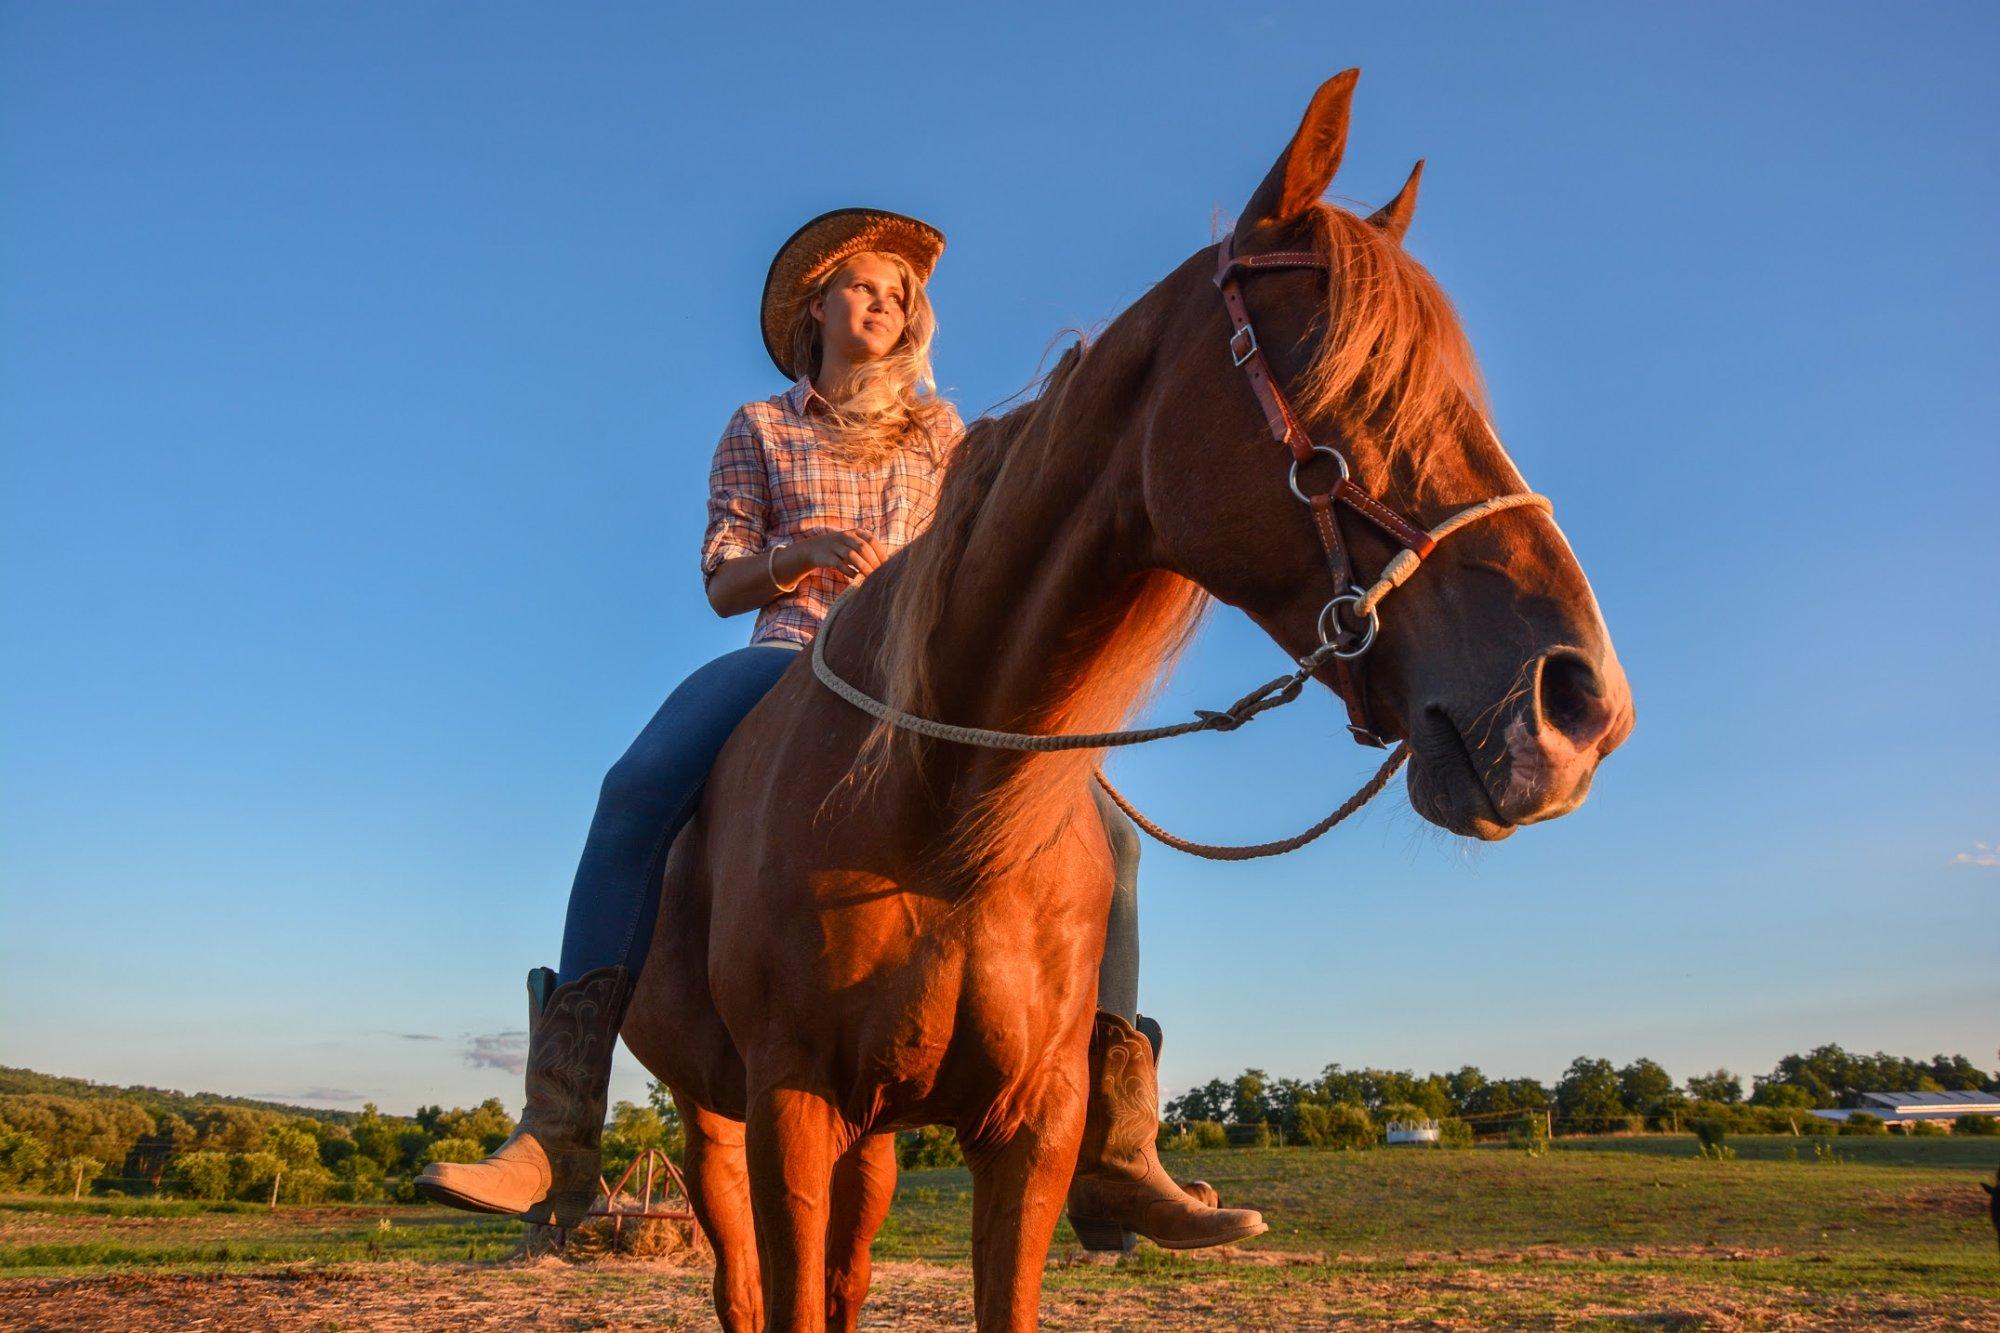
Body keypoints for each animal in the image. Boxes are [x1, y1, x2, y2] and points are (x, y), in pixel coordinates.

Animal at [620, 67, 1624, 1320]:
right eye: (1340, 377)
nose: (1577, 703)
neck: (934, 810)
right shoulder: (789, 1107)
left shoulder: (1028, 1130)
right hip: (714, 1119)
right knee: (740, 1282)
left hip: (877, 1134)